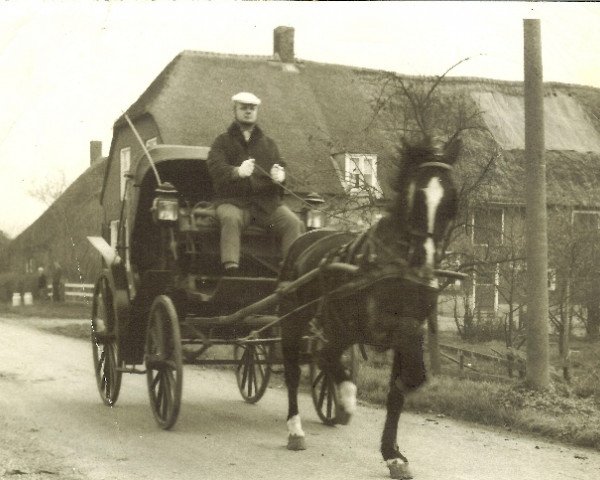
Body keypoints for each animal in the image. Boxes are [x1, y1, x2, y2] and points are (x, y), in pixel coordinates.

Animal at [278, 137, 462, 478]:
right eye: (416, 196)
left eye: (451, 200)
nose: (425, 260)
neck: (397, 264)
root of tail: (305, 238)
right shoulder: (377, 326)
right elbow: (402, 379)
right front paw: (350, 399)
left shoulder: (410, 331)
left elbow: (401, 389)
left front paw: (393, 454)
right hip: (294, 319)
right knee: (297, 368)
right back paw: (298, 427)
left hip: (336, 326)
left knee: (324, 355)